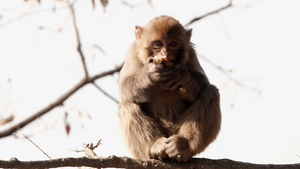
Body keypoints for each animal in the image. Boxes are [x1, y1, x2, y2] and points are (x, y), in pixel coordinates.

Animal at [118, 15, 221, 162]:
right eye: (157, 44)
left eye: (173, 44)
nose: (165, 53)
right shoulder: (132, 51)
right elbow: (124, 87)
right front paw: (150, 74)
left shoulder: (191, 52)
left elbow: (202, 83)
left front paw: (182, 76)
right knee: (126, 104)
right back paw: (155, 145)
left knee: (210, 92)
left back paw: (183, 145)